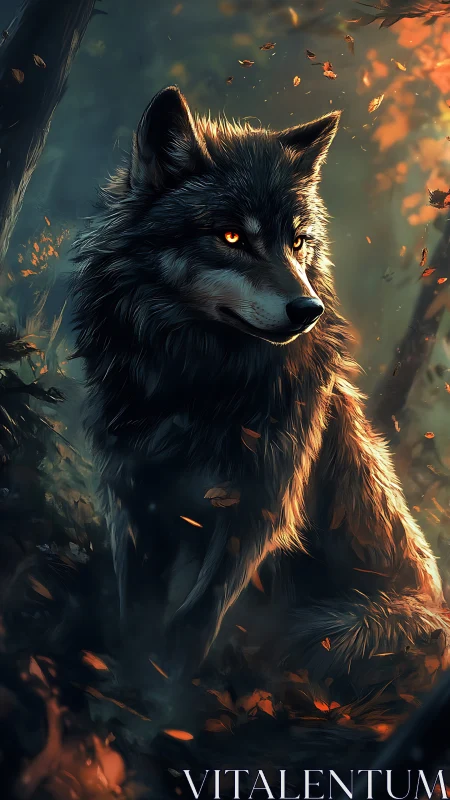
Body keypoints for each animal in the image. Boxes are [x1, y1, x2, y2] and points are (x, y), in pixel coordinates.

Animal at [72, 86, 449, 678]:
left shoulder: (257, 510)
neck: (197, 388)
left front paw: (167, 691)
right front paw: (129, 677)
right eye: (231, 236)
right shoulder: (134, 496)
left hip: (345, 627)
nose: (309, 310)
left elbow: (192, 622)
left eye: (297, 242)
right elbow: (137, 611)